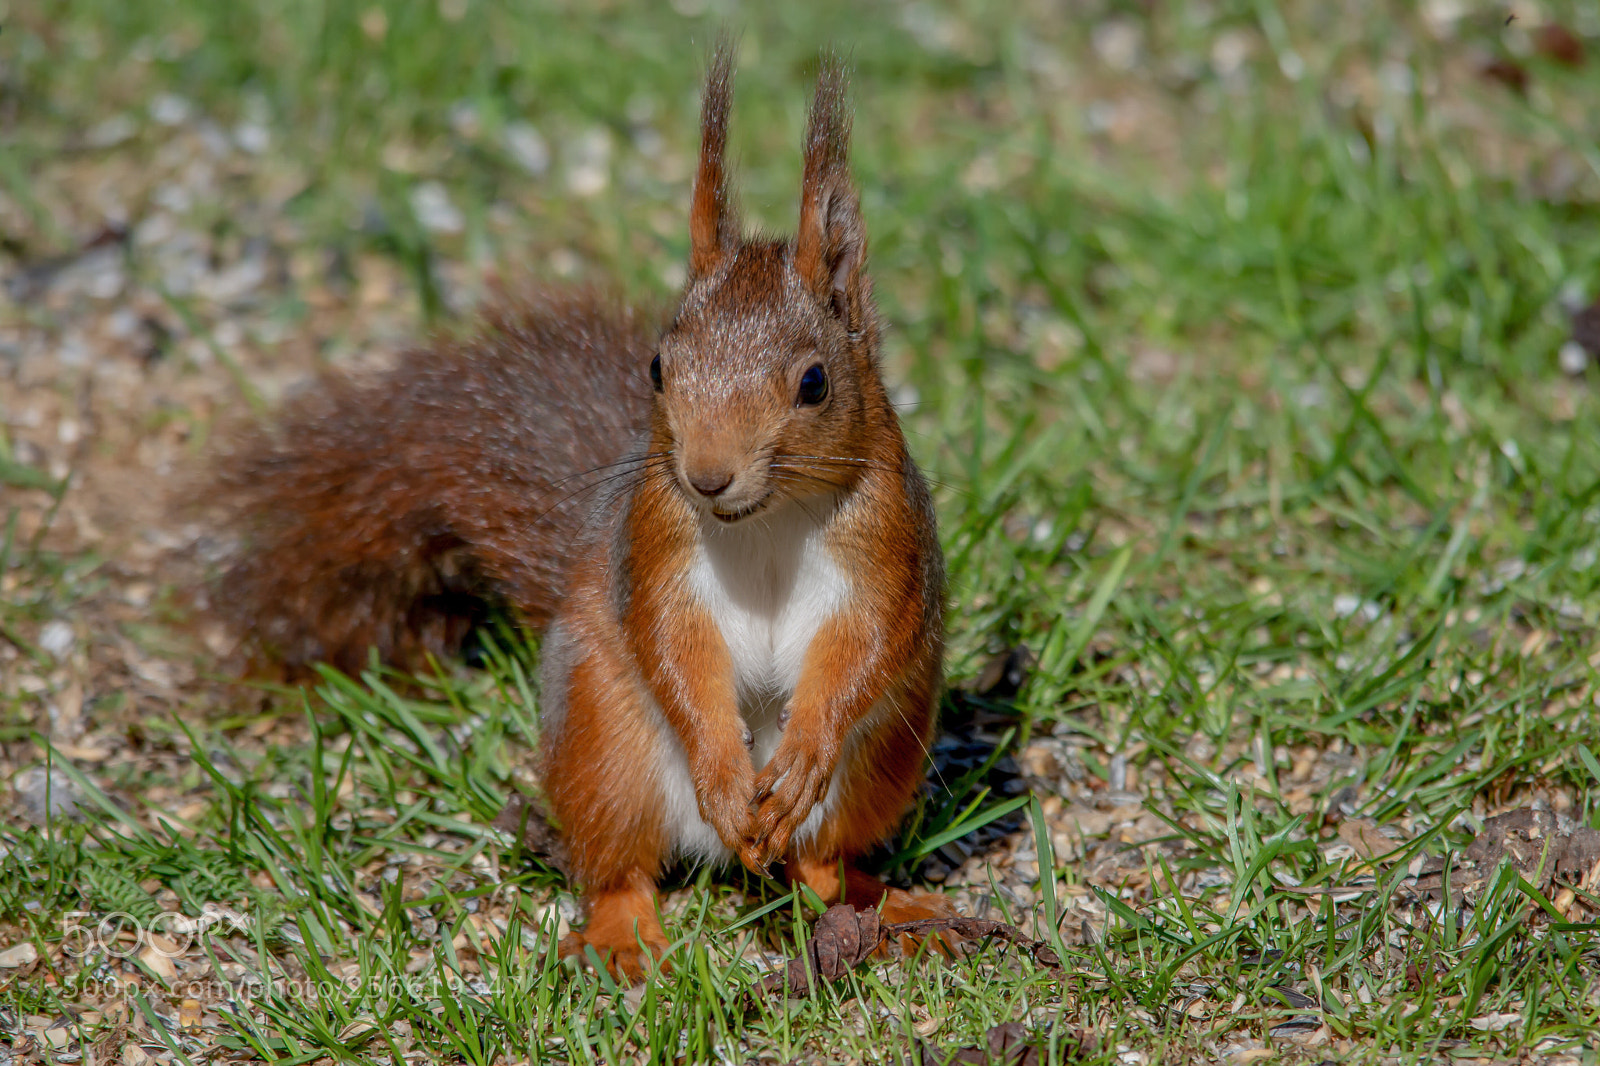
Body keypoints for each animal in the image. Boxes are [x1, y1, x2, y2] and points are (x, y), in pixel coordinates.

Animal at [208, 46, 956, 978]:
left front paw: (807, 747)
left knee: (823, 858)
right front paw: (722, 771)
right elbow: (669, 640)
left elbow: (867, 646)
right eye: (659, 368)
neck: (764, 520)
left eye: (814, 383)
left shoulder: (891, 542)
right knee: (616, 865)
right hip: (606, 743)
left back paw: (878, 901)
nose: (707, 476)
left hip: (883, 756)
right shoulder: (654, 541)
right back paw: (628, 935)